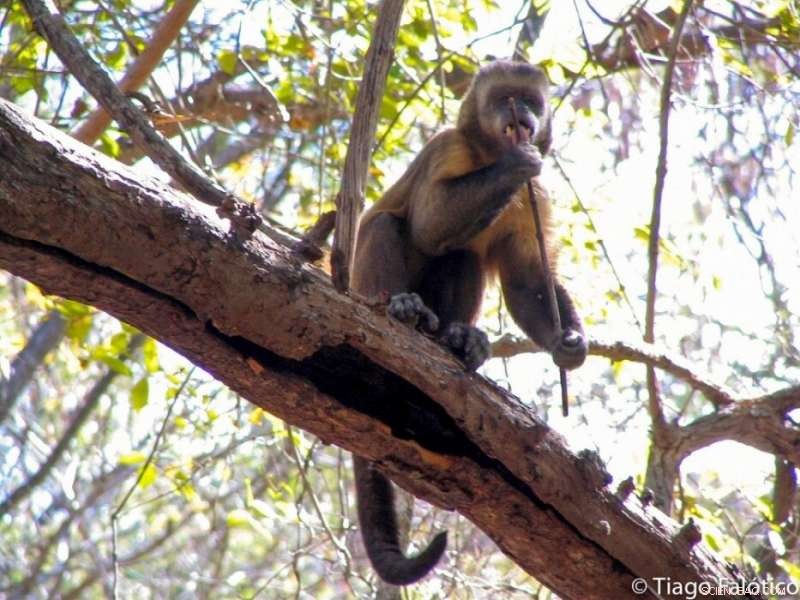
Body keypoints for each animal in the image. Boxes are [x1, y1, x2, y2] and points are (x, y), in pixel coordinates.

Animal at [350, 60, 587, 585]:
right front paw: (516, 162)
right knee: (391, 226)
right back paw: (403, 309)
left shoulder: (539, 194)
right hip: (361, 288)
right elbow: (427, 222)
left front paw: (568, 343)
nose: (521, 118)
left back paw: (456, 338)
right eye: (502, 100)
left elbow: (527, 282)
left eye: (532, 102)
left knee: (462, 258)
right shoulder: (449, 146)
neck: (487, 152)